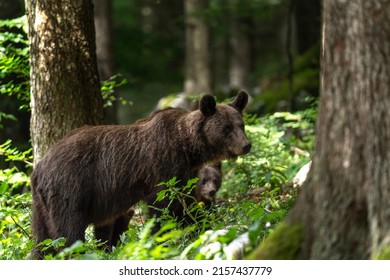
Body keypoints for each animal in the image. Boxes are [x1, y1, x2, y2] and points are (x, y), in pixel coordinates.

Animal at [29, 90, 250, 258]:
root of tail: (40, 166)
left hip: (41, 203)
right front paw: (162, 240)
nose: (246, 145)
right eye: (226, 128)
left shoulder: (185, 175)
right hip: (70, 186)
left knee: (41, 237)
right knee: (68, 230)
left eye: (241, 124)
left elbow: (187, 205)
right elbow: (163, 208)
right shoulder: (162, 167)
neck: (188, 148)